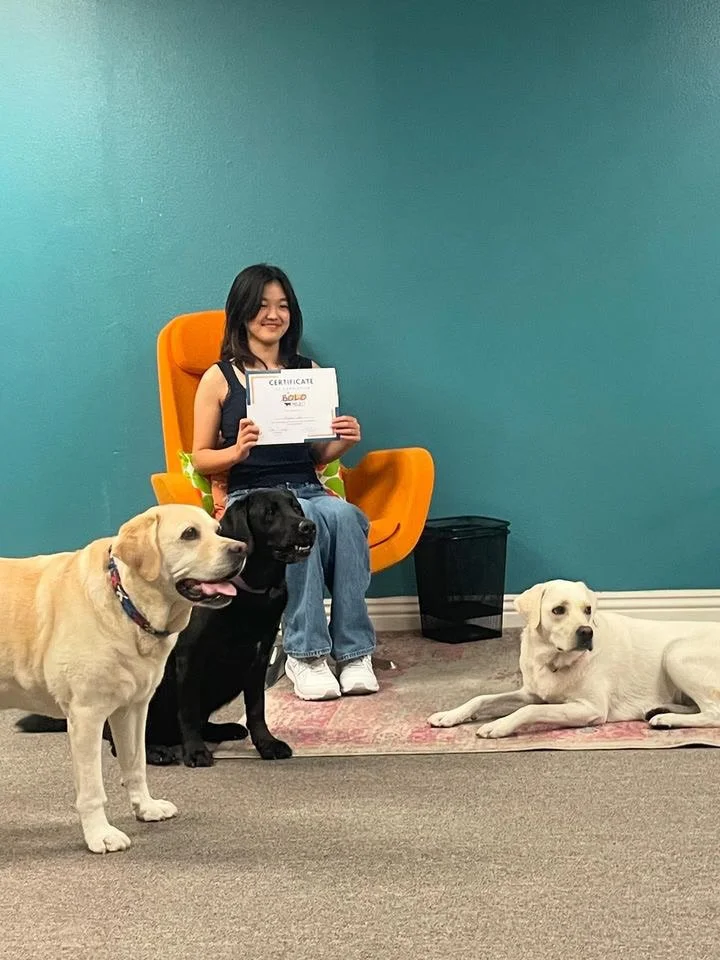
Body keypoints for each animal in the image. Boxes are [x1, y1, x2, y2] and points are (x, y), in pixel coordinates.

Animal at [1, 504, 245, 852]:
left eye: (218, 529)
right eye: (189, 534)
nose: (242, 549)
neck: (125, 603)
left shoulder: (132, 709)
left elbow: (135, 764)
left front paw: (146, 807)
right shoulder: (87, 716)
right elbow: (92, 790)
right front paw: (99, 834)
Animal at [427, 578, 720, 738]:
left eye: (588, 610)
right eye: (558, 610)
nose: (587, 632)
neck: (553, 660)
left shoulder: (590, 708)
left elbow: (529, 710)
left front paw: (499, 725)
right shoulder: (532, 691)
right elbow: (482, 697)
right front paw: (450, 715)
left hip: (675, 653)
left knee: (714, 713)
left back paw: (664, 719)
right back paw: (660, 710)